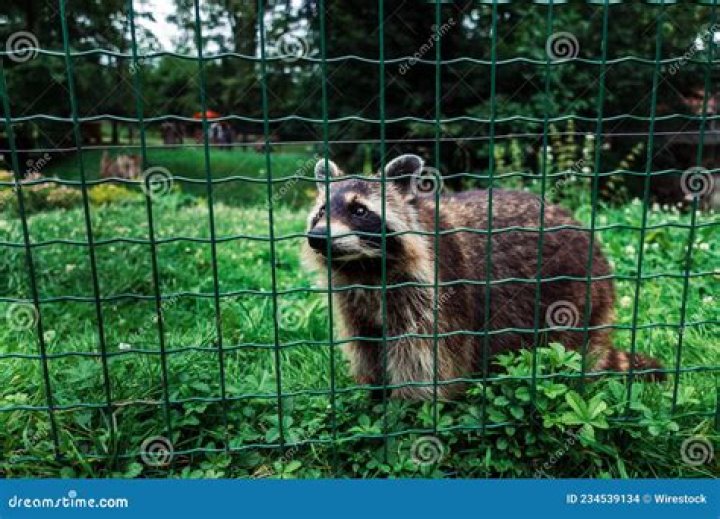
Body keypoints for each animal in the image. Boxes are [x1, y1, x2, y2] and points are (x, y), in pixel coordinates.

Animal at [303, 154, 664, 400]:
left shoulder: (434, 291)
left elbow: (422, 358)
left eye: (359, 210)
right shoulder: (353, 299)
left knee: (568, 352)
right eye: (321, 212)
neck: (363, 266)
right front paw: (374, 391)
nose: (317, 237)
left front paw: (406, 405)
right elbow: (365, 343)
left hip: (576, 294)